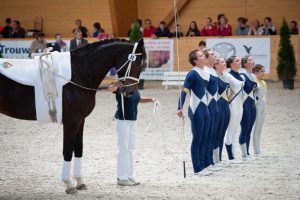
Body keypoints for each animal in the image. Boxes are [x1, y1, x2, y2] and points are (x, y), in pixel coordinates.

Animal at [0, 38, 146, 193]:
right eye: (137, 62)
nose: (130, 92)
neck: (78, 74)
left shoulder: (80, 120)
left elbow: (79, 149)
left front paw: (80, 182)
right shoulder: (71, 121)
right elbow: (68, 151)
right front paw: (68, 184)